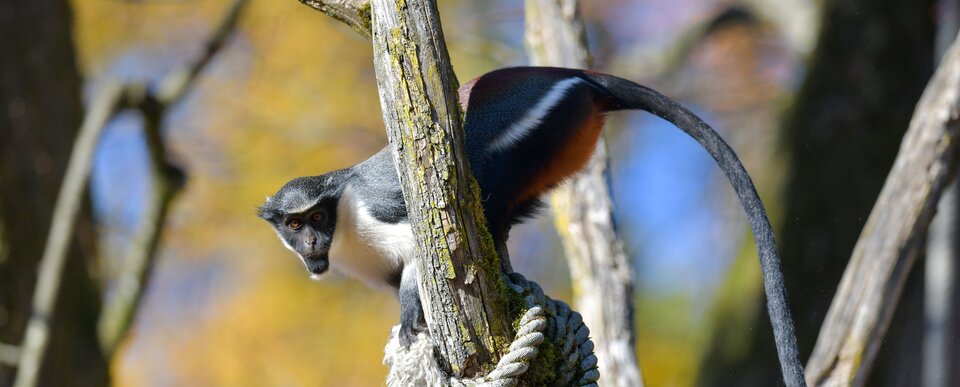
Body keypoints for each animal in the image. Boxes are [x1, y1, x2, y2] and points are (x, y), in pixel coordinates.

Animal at [258, 67, 808, 387]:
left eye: (317, 217)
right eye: (294, 223)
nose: (312, 243)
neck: (344, 216)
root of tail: (574, 74)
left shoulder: (379, 210)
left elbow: (421, 246)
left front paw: (413, 315)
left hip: (532, 128)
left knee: (484, 187)